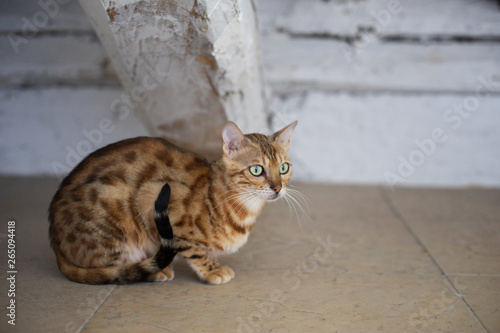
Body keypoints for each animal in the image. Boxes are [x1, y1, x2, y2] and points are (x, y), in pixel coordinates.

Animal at [47, 120, 296, 284]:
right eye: (256, 170)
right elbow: (196, 251)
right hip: (114, 202)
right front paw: (211, 270)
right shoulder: (156, 199)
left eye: (284, 168)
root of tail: (57, 248)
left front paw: (214, 263)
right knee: (111, 269)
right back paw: (153, 271)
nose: (277, 187)